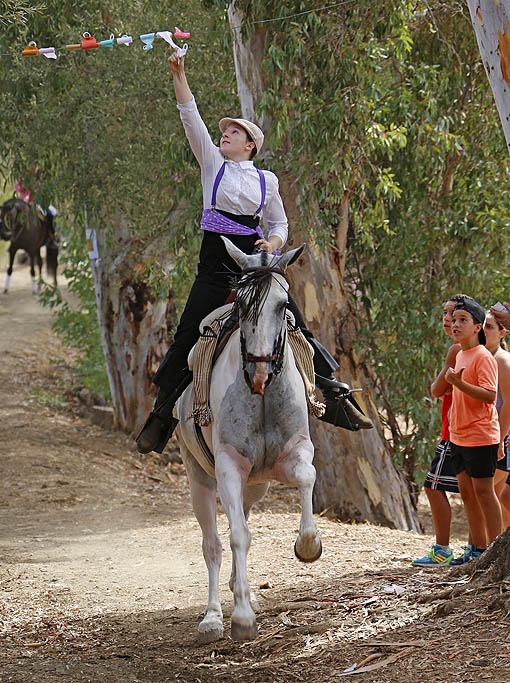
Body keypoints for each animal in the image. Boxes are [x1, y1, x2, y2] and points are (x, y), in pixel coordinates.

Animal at [173, 238, 320, 644]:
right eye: (241, 304)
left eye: (284, 305)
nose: (258, 369)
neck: (262, 396)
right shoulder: (228, 467)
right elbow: (235, 536)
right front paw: (240, 618)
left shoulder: (295, 451)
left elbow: (307, 477)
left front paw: (307, 546)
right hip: (200, 478)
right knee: (213, 543)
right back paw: (213, 617)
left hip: (257, 486)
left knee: (246, 523)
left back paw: (246, 593)